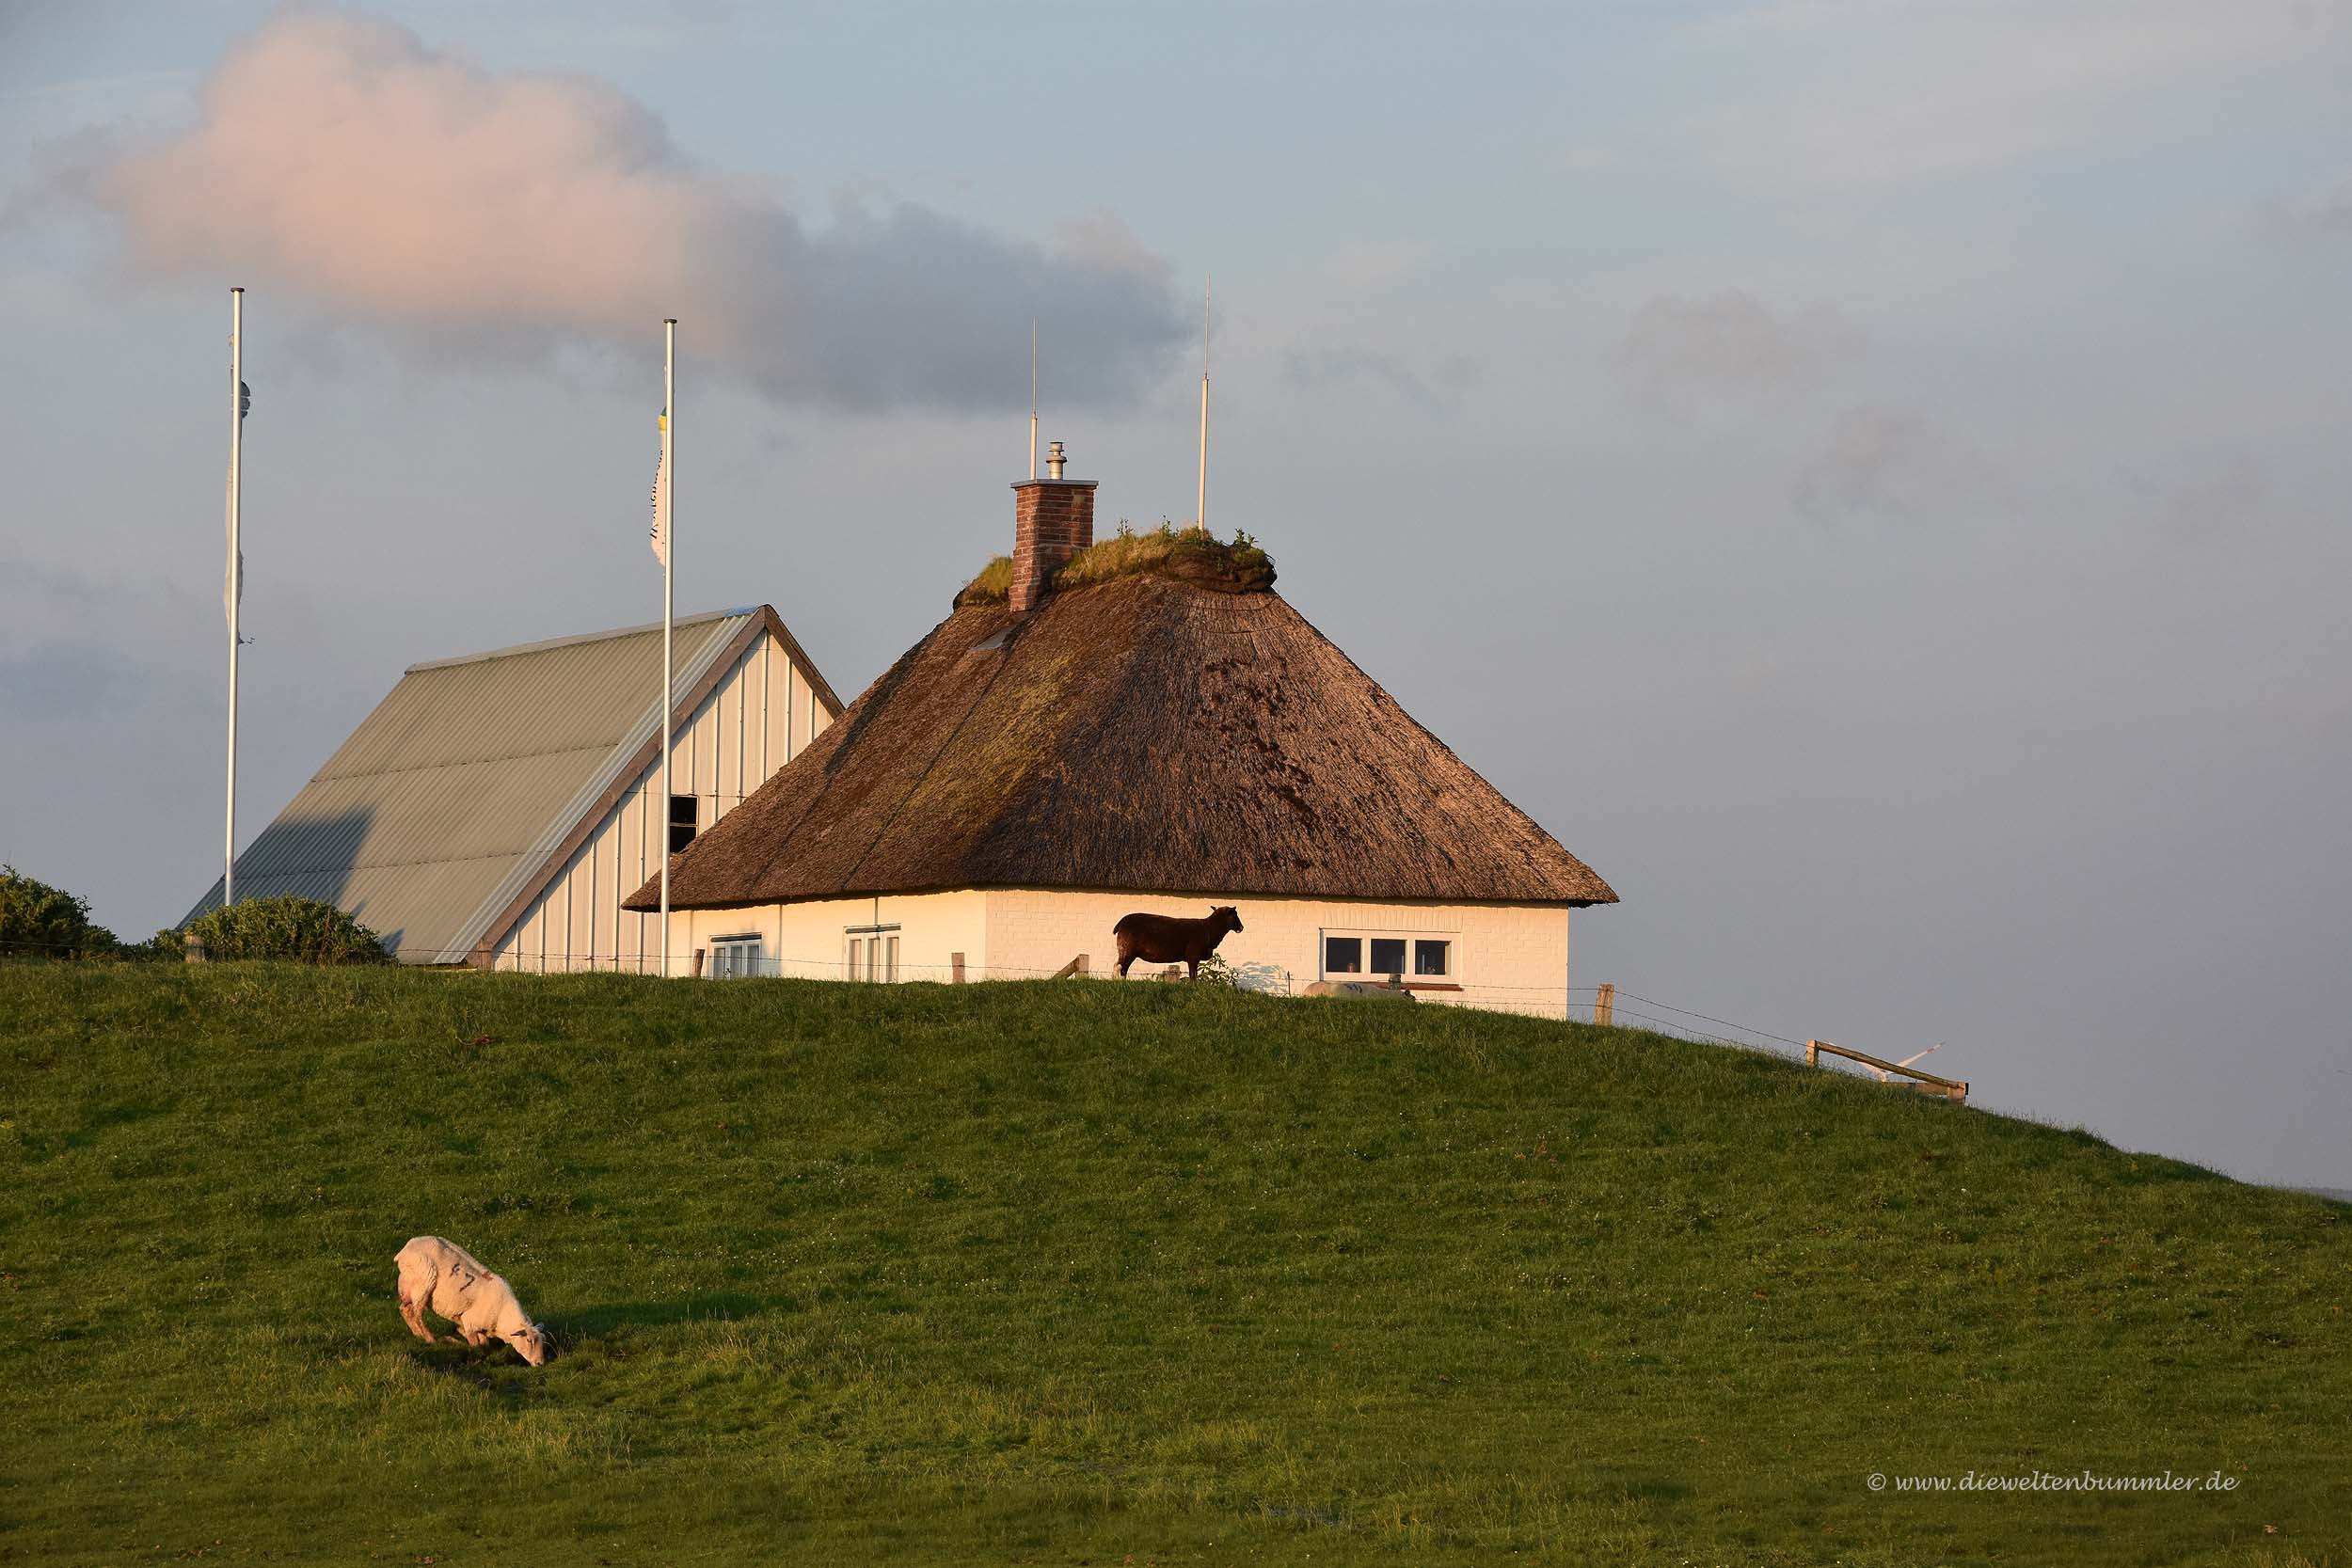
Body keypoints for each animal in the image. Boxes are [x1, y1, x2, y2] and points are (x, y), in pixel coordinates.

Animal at [400, 1231, 560, 1363]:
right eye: (529, 1341)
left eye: (543, 1341)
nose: (540, 1363)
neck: (502, 1315)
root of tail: (406, 1248)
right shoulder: (470, 1322)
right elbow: (475, 1345)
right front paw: (454, 1340)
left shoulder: (482, 1327)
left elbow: (484, 1344)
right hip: (424, 1284)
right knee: (417, 1315)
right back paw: (430, 1339)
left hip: (408, 1288)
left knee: (405, 1310)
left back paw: (418, 1334)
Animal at [1110, 907, 1242, 982]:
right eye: (1234, 915)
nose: (1241, 928)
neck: (1209, 929)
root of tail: (1121, 923)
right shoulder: (1193, 957)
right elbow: (1193, 975)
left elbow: (1194, 974)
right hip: (1127, 949)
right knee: (1118, 966)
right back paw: (1116, 982)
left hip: (1129, 952)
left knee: (1123, 968)